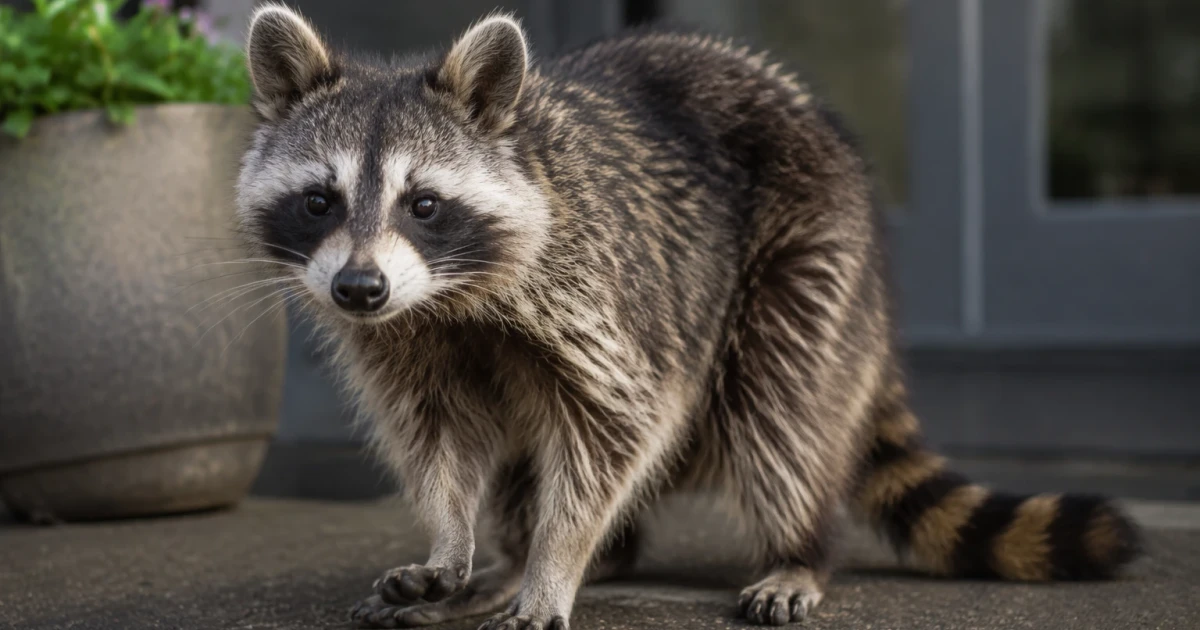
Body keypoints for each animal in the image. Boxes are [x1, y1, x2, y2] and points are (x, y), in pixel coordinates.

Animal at [235, 5, 1142, 629]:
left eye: (423, 204)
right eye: (319, 201)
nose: (358, 289)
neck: (448, 297)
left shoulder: (598, 296)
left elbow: (616, 429)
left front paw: (558, 561)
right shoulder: (405, 340)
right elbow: (438, 438)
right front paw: (453, 540)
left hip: (813, 247)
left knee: (783, 410)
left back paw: (797, 552)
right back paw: (522, 559)